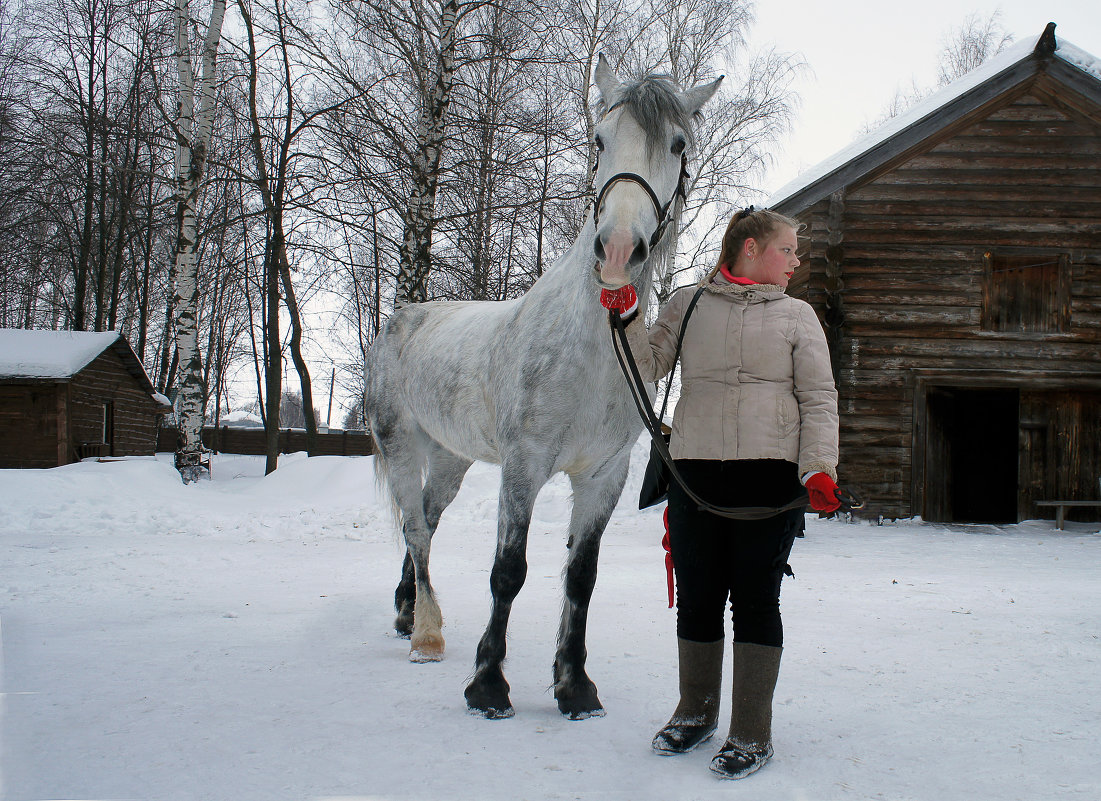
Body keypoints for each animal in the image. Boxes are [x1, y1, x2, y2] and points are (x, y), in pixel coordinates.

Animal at [365, 56, 717, 721]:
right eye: (599, 140)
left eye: (678, 145)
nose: (619, 250)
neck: (594, 347)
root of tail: (401, 318)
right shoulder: (524, 466)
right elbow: (509, 571)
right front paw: (488, 685)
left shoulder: (602, 475)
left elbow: (581, 578)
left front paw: (574, 686)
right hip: (399, 446)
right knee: (416, 529)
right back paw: (427, 634)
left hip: (450, 460)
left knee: (427, 518)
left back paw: (406, 612)